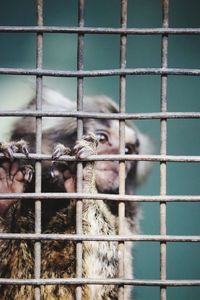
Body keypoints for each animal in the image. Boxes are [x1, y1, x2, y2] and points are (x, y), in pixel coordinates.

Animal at [0, 88, 152, 298]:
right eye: (102, 138)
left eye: (128, 150)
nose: (119, 159)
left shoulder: (125, 222)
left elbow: (106, 279)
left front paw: (82, 177)